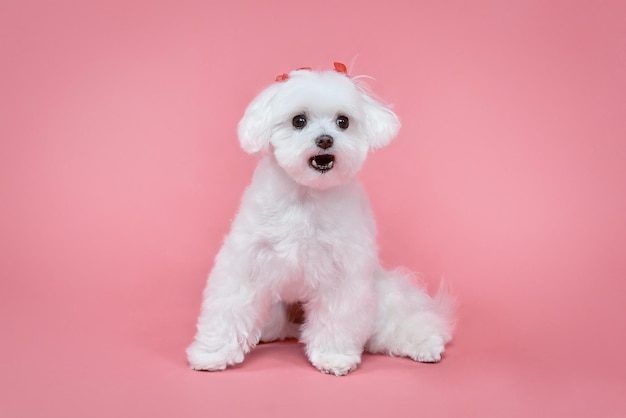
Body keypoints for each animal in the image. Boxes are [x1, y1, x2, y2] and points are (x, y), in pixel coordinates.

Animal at [186, 62, 454, 376]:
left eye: (343, 122)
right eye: (298, 120)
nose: (325, 139)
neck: (307, 196)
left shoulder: (343, 272)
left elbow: (337, 318)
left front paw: (333, 357)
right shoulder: (246, 262)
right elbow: (228, 308)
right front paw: (212, 353)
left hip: (382, 298)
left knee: (407, 324)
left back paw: (425, 345)